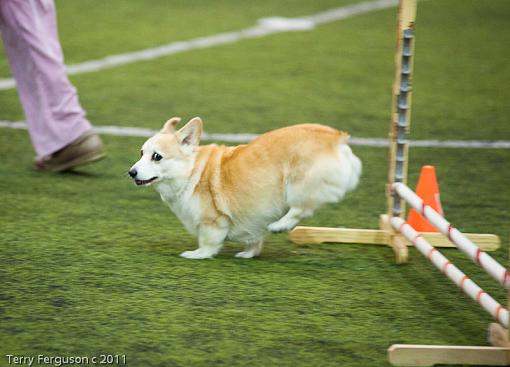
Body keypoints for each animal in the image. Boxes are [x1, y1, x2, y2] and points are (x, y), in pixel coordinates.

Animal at [129, 117, 364, 258]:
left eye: (157, 157)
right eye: (141, 153)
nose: (131, 172)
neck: (190, 174)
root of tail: (337, 139)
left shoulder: (212, 222)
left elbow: (208, 242)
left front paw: (197, 254)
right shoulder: (254, 217)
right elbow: (254, 238)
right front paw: (248, 254)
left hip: (298, 185)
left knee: (301, 209)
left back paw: (280, 225)